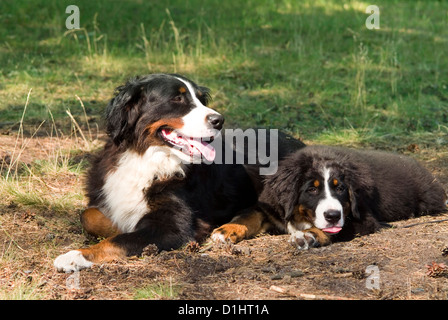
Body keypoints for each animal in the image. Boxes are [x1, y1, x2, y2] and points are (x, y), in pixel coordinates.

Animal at [53, 74, 308, 272]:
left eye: (201, 99)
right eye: (177, 98)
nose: (219, 120)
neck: (146, 157)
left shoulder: (173, 227)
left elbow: (117, 241)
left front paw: (76, 255)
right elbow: (89, 216)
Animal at [212, 146, 446, 249]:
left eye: (340, 188)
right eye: (312, 190)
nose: (332, 215)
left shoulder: (363, 219)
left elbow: (333, 230)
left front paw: (308, 235)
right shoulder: (270, 206)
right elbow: (247, 215)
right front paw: (225, 230)